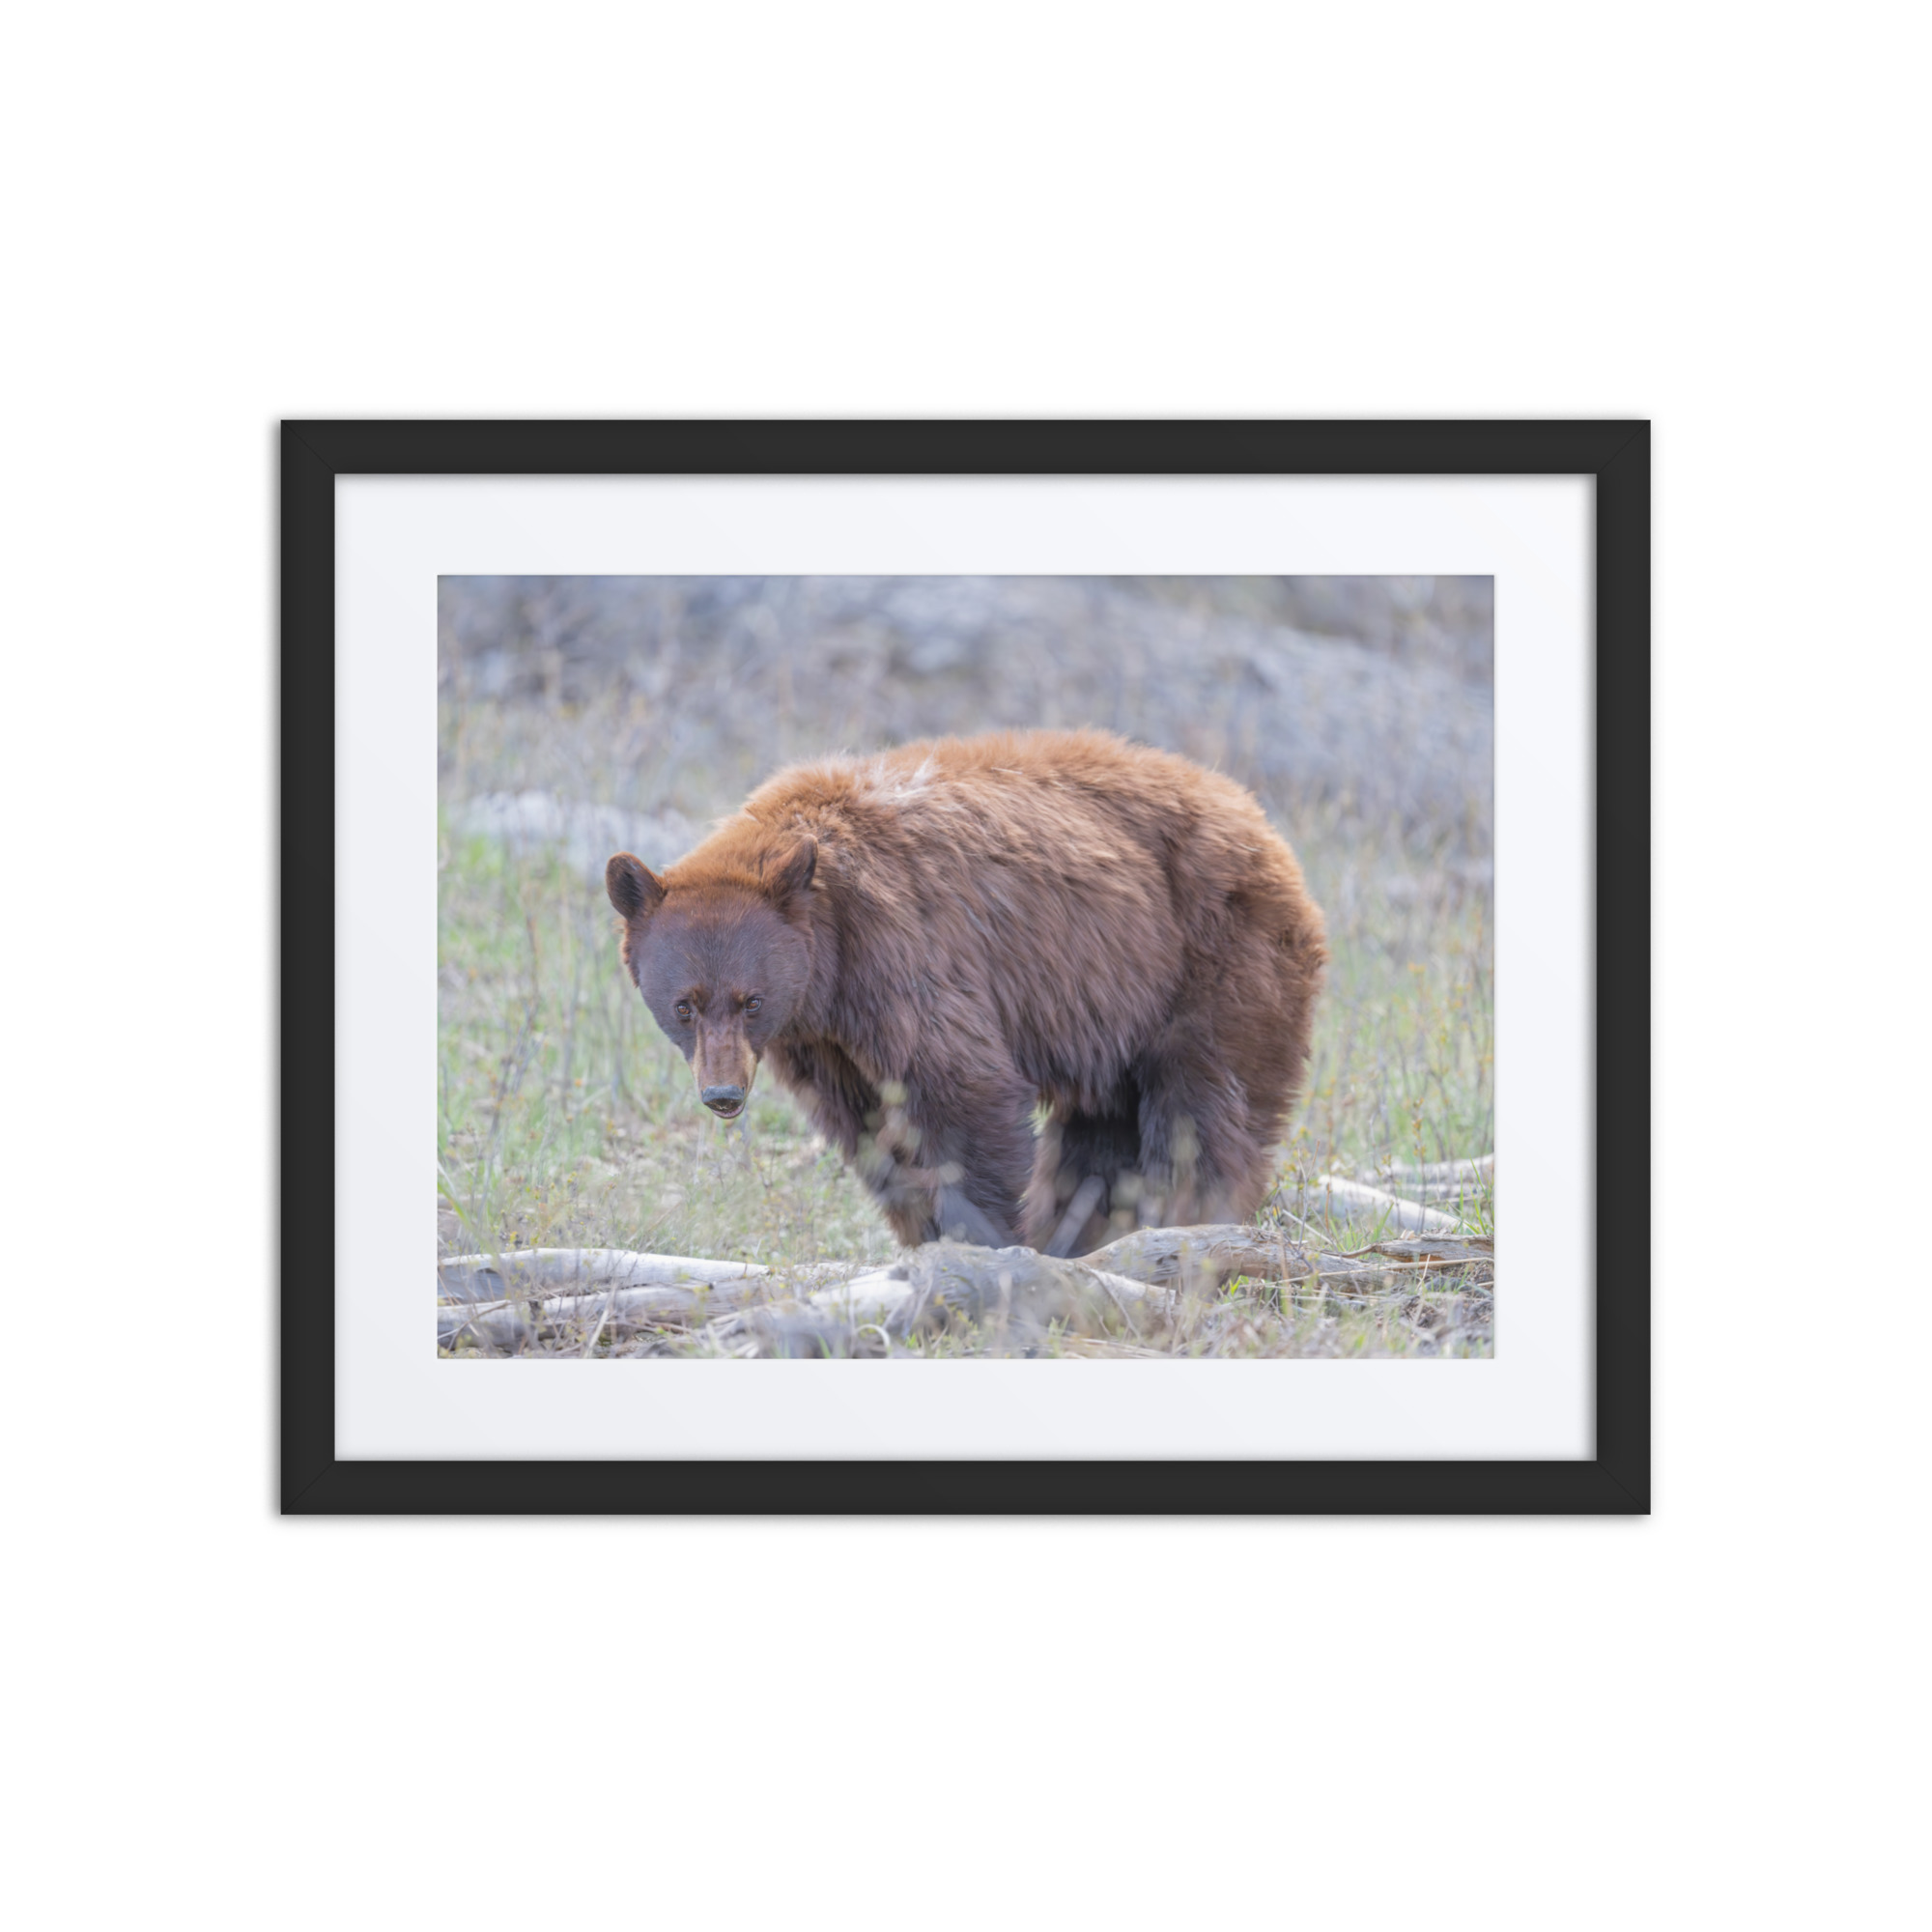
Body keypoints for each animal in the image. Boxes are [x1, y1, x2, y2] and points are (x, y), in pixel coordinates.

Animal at [605, 729, 1326, 1257]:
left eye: (750, 1000)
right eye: (684, 1005)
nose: (723, 1095)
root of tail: (1258, 818)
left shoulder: (904, 954)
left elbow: (962, 1093)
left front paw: (982, 1239)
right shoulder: (823, 1041)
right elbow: (870, 1128)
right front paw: (926, 1235)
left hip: (1212, 958)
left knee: (1203, 1108)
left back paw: (1187, 1219)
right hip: (1116, 1006)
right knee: (1102, 1131)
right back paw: (1086, 1232)